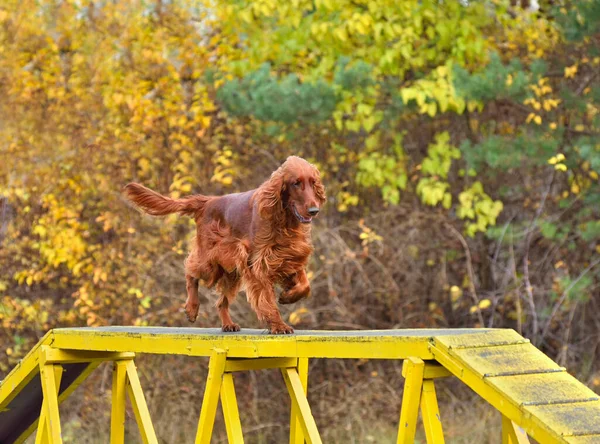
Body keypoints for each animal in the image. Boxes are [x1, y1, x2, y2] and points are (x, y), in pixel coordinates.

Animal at [122, 156, 326, 332]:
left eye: (313, 182)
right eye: (296, 183)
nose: (314, 210)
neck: (284, 220)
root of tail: (207, 201)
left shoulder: (292, 255)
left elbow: (305, 285)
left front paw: (288, 296)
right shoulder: (258, 263)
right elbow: (267, 300)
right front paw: (278, 325)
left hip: (231, 270)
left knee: (221, 302)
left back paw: (228, 324)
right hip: (211, 262)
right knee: (190, 272)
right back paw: (192, 308)